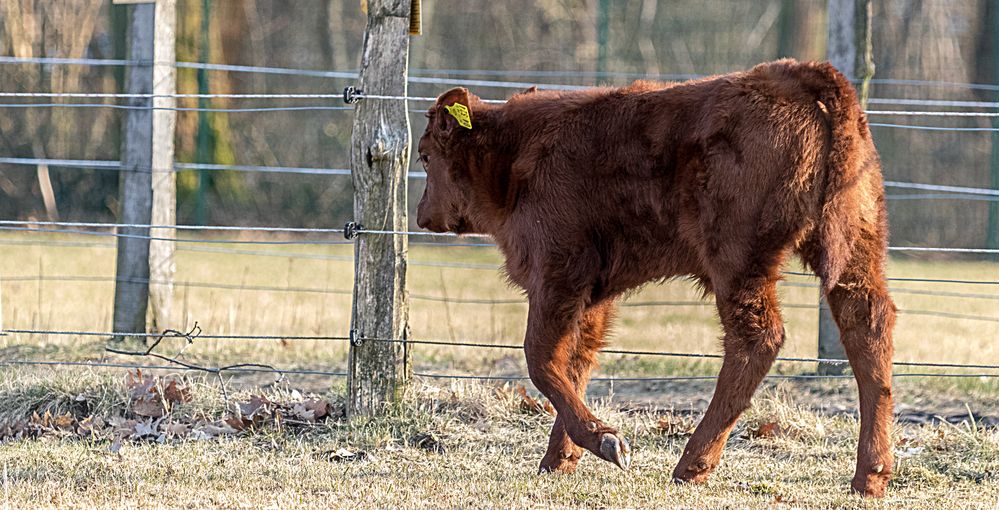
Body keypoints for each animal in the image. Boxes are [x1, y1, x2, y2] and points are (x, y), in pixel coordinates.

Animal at [414, 59, 900, 498]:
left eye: (425, 155)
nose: (421, 215)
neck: (515, 152)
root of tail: (795, 74)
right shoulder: (592, 295)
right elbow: (576, 362)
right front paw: (560, 459)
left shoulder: (557, 275)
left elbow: (541, 359)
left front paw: (606, 442)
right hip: (855, 248)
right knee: (868, 326)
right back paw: (870, 477)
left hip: (739, 262)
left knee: (757, 340)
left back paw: (691, 465)